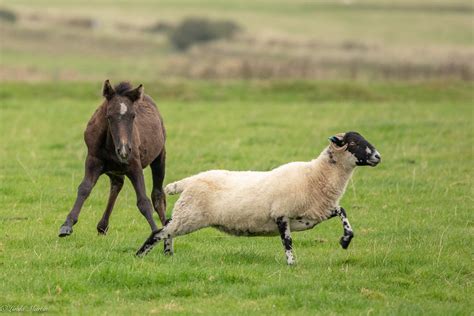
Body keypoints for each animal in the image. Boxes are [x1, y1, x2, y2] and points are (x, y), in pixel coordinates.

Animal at [58, 80, 167, 238]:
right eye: (109, 116)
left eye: (133, 116)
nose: (124, 150)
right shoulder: (93, 160)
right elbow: (84, 188)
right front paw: (67, 225)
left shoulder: (134, 164)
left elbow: (143, 201)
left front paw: (155, 231)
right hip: (114, 169)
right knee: (117, 184)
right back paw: (102, 226)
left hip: (159, 157)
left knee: (157, 194)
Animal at [135, 131, 380, 264]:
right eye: (354, 143)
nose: (378, 156)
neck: (316, 176)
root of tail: (188, 181)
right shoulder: (281, 214)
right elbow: (287, 242)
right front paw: (292, 264)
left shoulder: (314, 214)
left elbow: (343, 213)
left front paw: (345, 240)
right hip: (190, 217)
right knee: (159, 231)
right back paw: (139, 256)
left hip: (185, 215)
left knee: (167, 228)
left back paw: (168, 254)